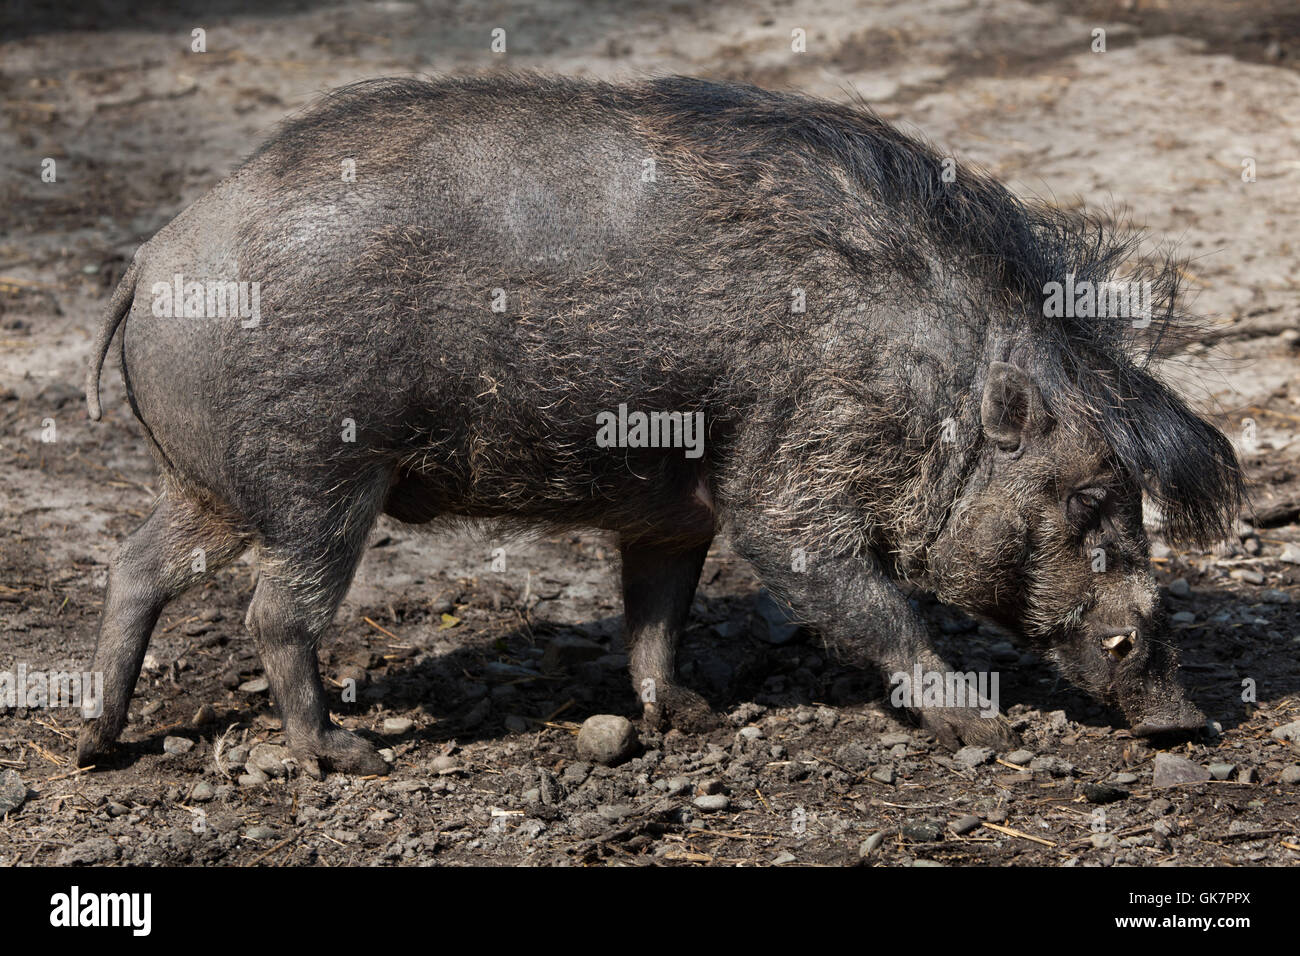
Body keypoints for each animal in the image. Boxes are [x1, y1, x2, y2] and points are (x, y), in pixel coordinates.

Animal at [80, 75, 1243, 774]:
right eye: (1088, 494)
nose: (1188, 719)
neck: (929, 386)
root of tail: (151, 259)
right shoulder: (787, 480)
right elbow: (856, 595)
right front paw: (977, 716)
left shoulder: (675, 508)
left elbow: (656, 615)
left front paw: (689, 716)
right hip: (318, 479)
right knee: (273, 612)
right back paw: (347, 755)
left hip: (215, 486)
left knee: (136, 565)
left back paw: (99, 739)